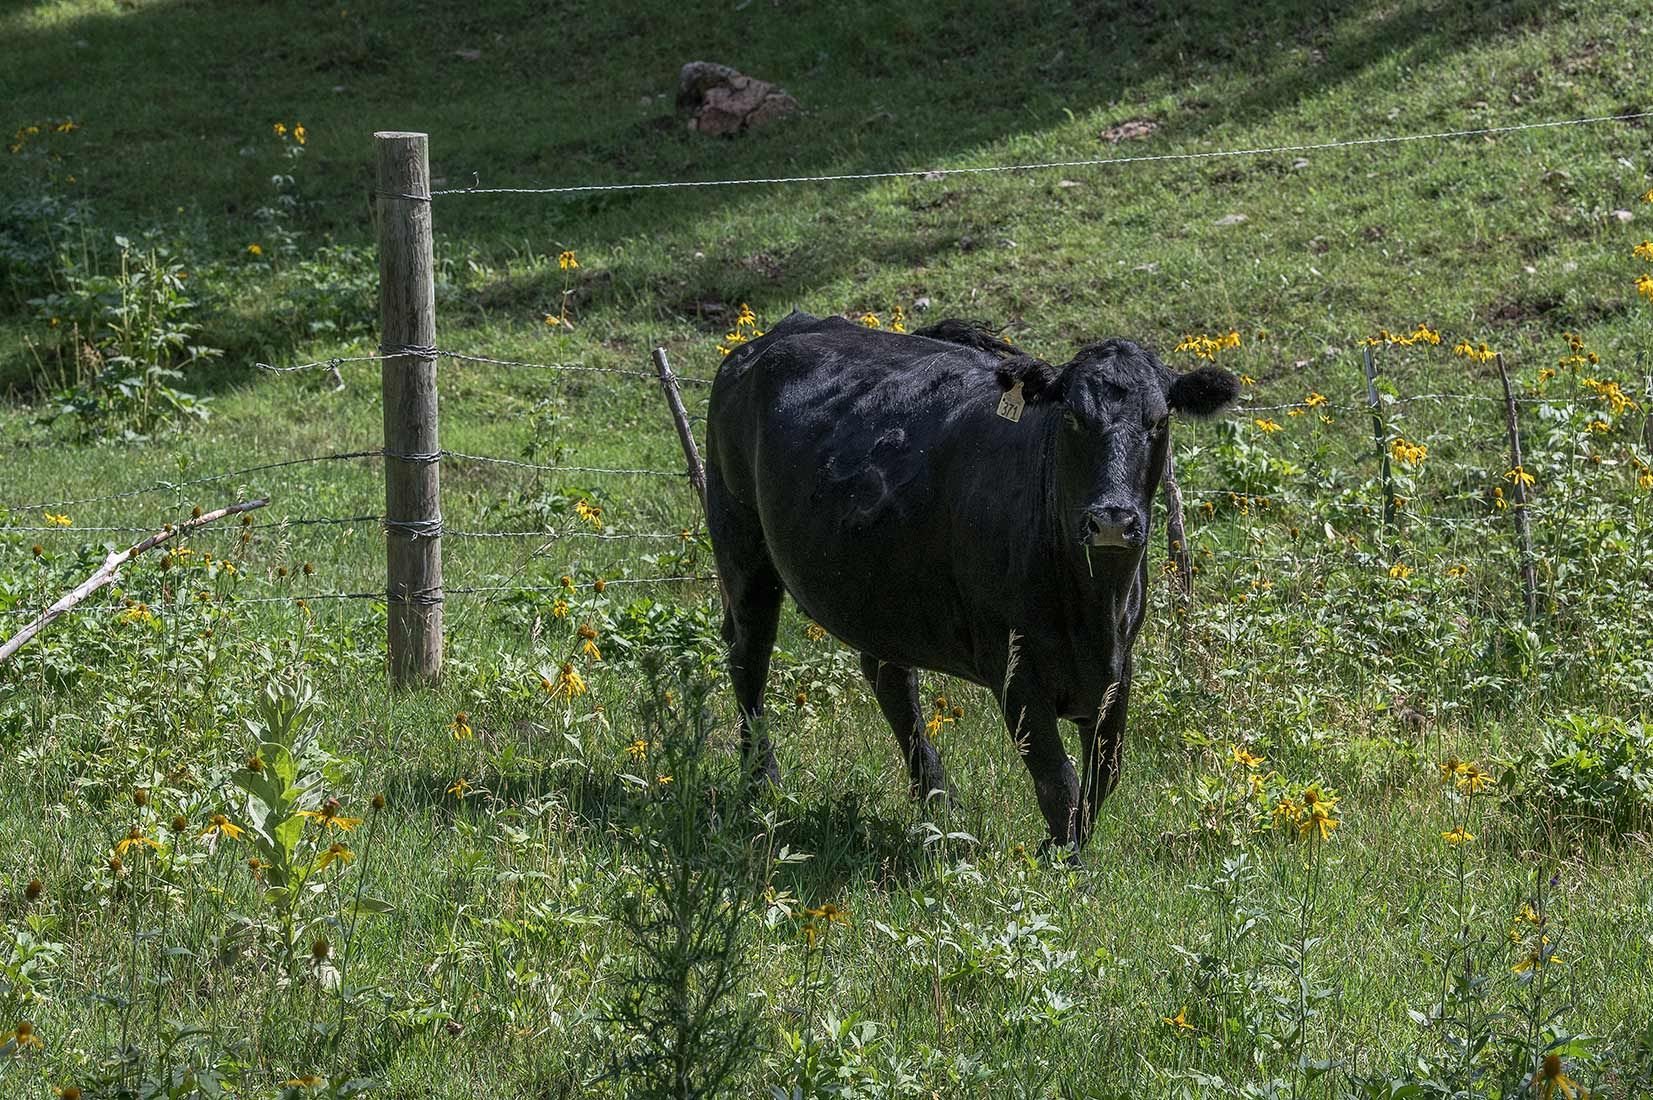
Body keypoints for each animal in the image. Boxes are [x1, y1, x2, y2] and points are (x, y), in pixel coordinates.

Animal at [704, 311, 1240, 849]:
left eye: (1161, 420)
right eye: (1071, 416)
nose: (1112, 519)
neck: (1092, 605)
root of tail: (781, 331)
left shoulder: (1118, 665)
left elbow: (1103, 776)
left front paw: (1064, 846)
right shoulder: (1010, 663)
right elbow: (1058, 780)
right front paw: (1060, 858)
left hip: (882, 590)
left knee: (889, 678)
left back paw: (938, 802)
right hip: (741, 546)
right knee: (748, 660)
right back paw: (763, 782)